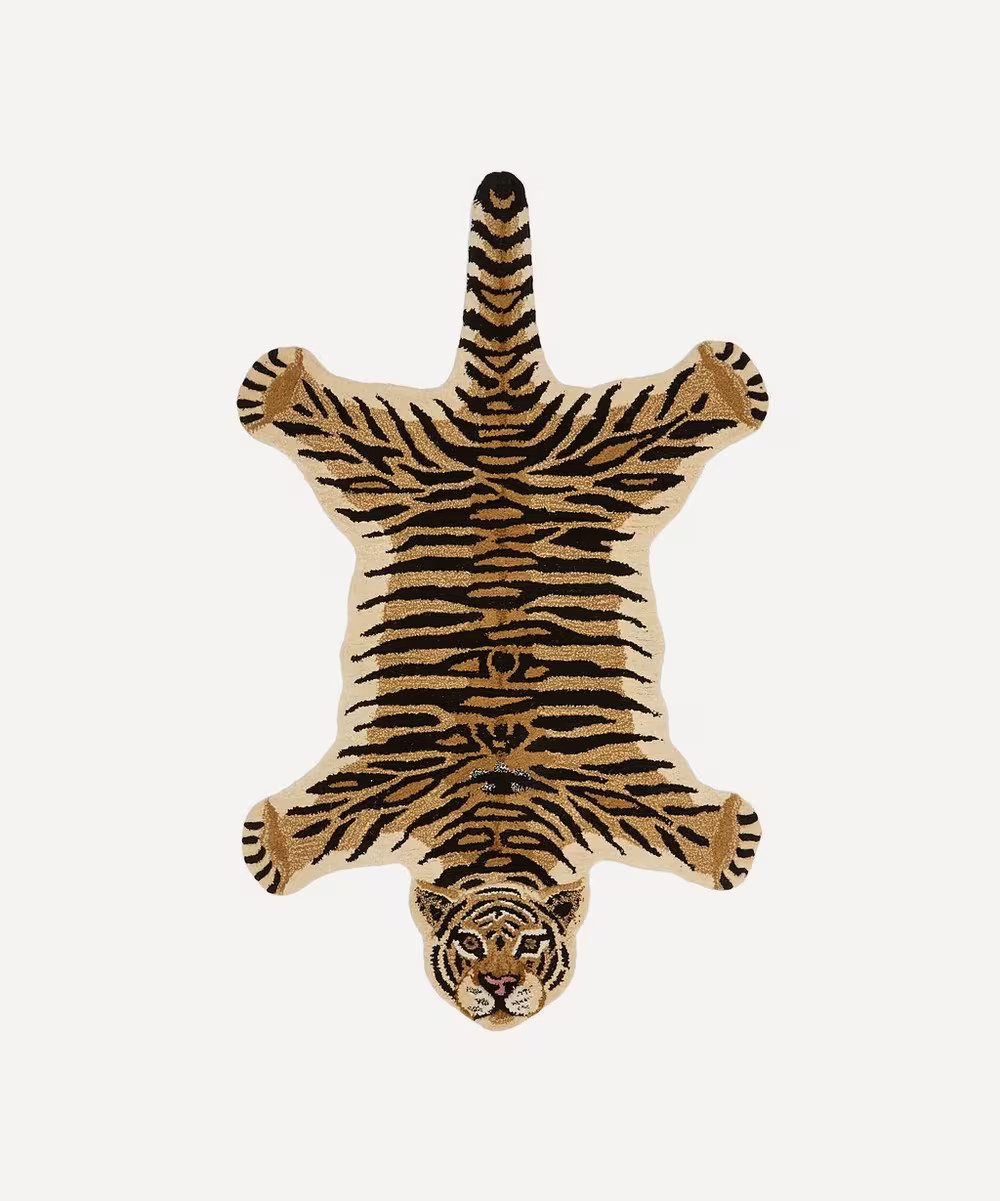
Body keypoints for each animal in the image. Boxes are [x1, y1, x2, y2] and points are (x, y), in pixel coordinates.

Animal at [238, 171, 767, 1028]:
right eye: (467, 943)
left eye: (527, 943)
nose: (495, 989)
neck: (497, 817)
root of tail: (499, 418)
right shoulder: (382, 787)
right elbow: (307, 829)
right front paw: (275, 841)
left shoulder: (618, 790)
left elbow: (693, 834)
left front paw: (724, 835)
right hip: (395, 459)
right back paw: (283, 386)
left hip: (607, 453)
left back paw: (721, 381)